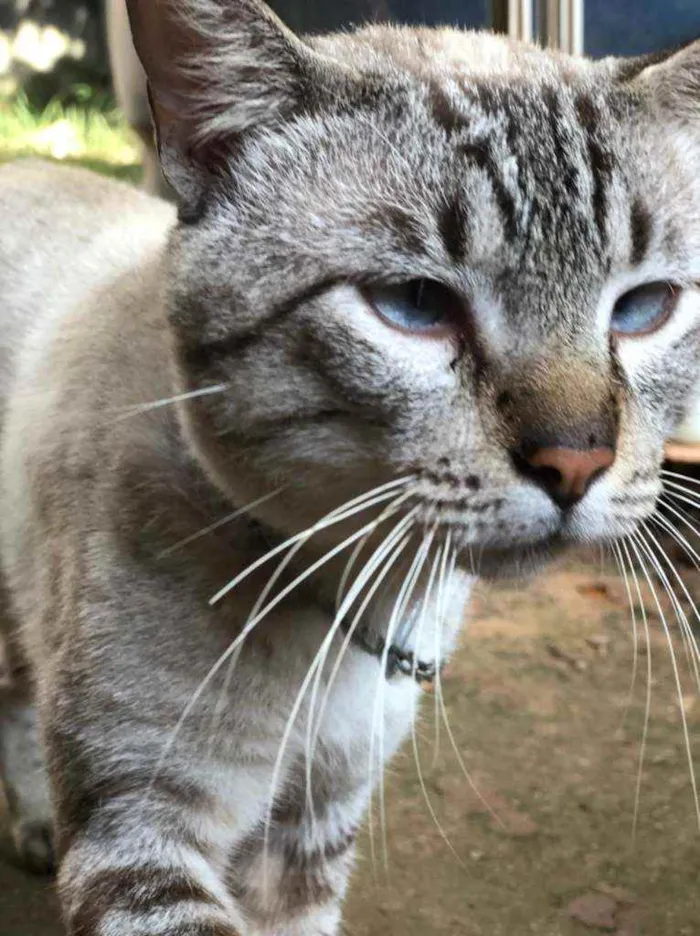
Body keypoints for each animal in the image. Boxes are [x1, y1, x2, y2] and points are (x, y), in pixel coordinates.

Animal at [0, 1, 696, 936]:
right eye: (414, 304)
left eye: (644, 308)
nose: (576, 460)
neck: (356, 609)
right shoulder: (143, 834)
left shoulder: (314, 829)